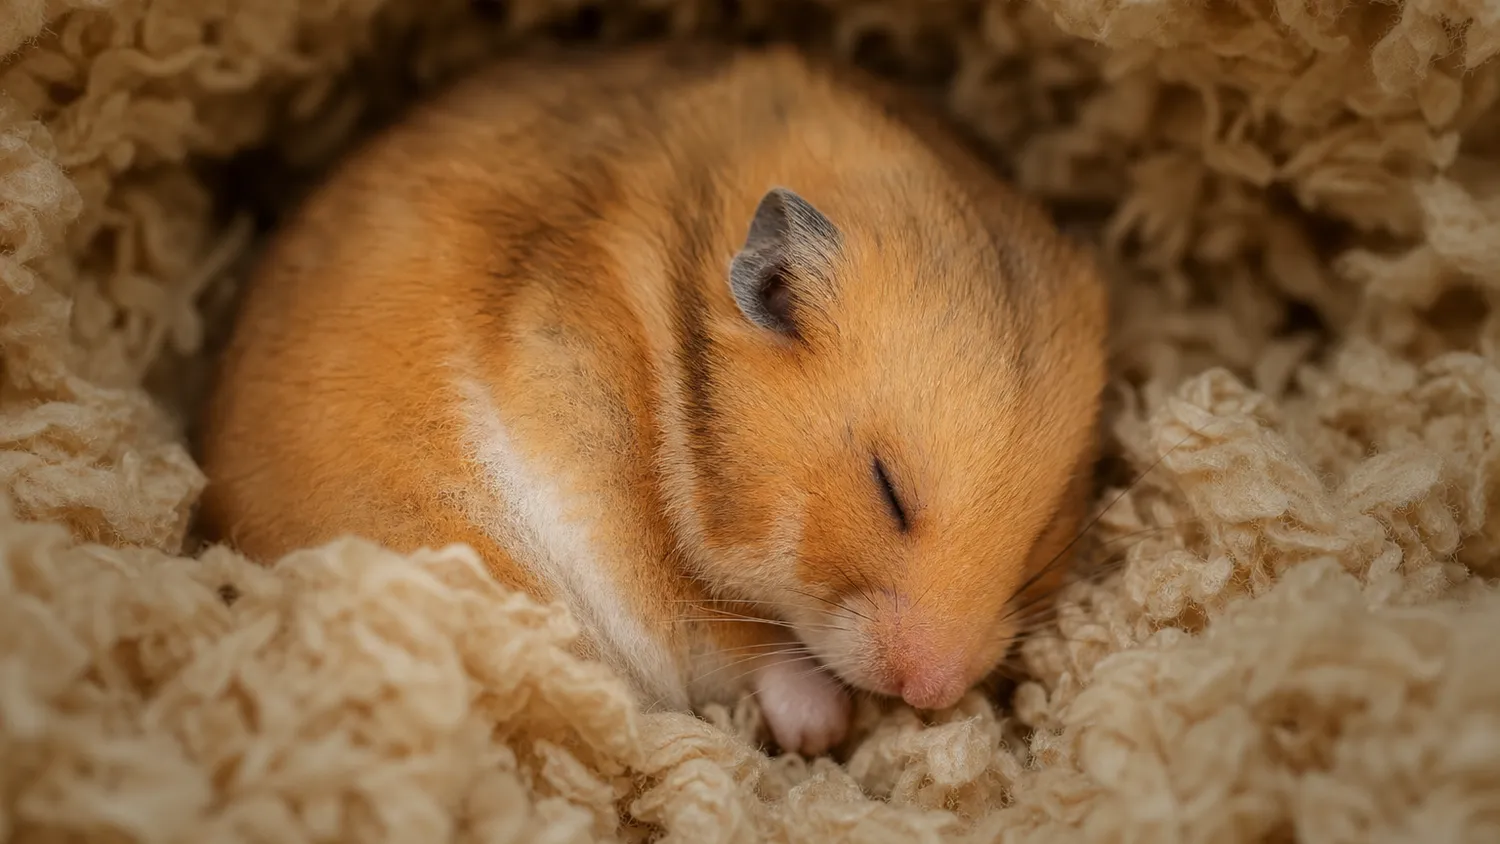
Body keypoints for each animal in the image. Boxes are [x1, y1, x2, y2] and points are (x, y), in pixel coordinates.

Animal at [197, 43, 1109, 756]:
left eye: (1042, 533)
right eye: (887, 489)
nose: (935, 693)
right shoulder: (658, 579)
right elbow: (748, 640)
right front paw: (820, 729)